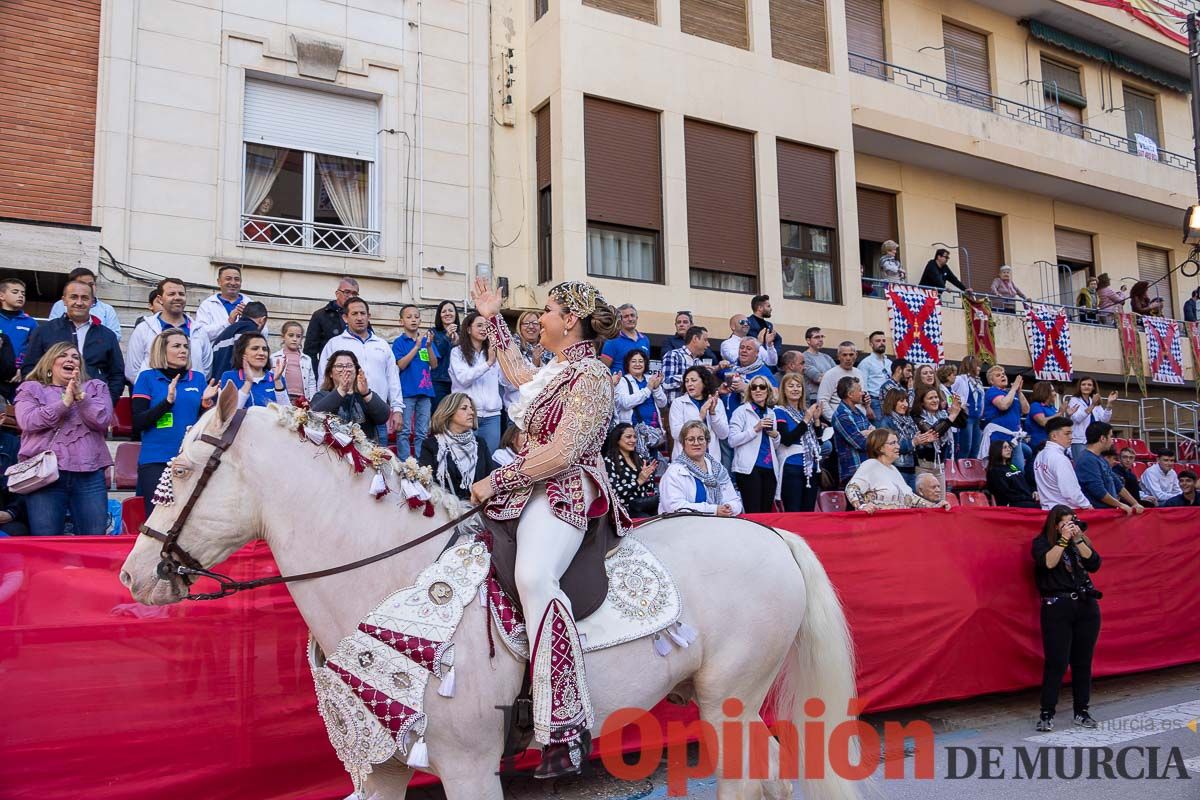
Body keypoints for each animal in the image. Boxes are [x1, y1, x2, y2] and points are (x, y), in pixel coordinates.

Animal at [121, 383, 864, 796]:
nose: (132, 575)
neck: (384, 577)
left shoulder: (469, 765)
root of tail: (772, 534)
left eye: (180, 471)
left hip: (728, 699)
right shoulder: (380, 767)